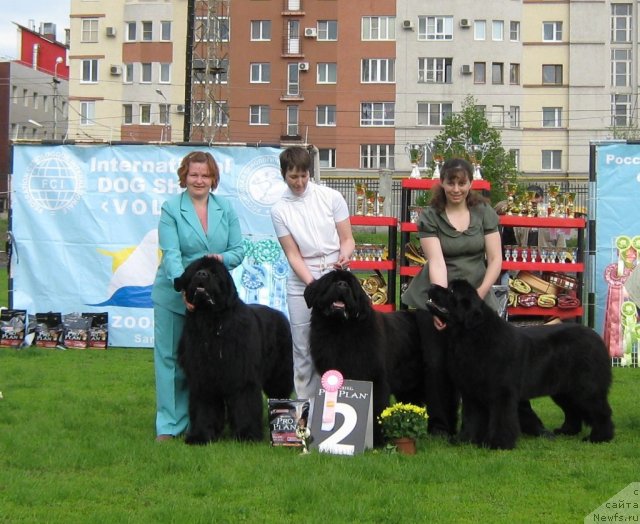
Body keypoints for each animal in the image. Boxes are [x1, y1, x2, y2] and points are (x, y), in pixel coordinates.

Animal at [175, 256, 296, 444]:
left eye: (214, 274)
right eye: (195, 270)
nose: (201, 274)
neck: (211, 322)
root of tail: (280, 314)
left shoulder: (242, 375)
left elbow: (244, 404)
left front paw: (247, 435)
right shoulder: (202, 376)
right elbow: (204, 407)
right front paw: (200, 435)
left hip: (280, 373)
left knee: (280, 394)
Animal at [304, 270, 424, 446]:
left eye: (350, 284)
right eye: (332, 281)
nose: (342, 284)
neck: (340, 330)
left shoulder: (375, 379)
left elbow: (377, 409)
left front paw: (378, 441)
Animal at [428, 280, 612, 448]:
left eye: (452, 290)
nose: (431, 285)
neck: (470, 335)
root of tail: (596, 337)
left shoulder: (502, 391)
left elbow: (502, 419)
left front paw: (498, 444)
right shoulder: (470, 391)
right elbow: (471, 418)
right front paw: (465, 440)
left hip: (586, 387)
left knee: (600, 411)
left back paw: (599, 438)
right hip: (564, 390)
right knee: (572, 410)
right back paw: (567, 431)